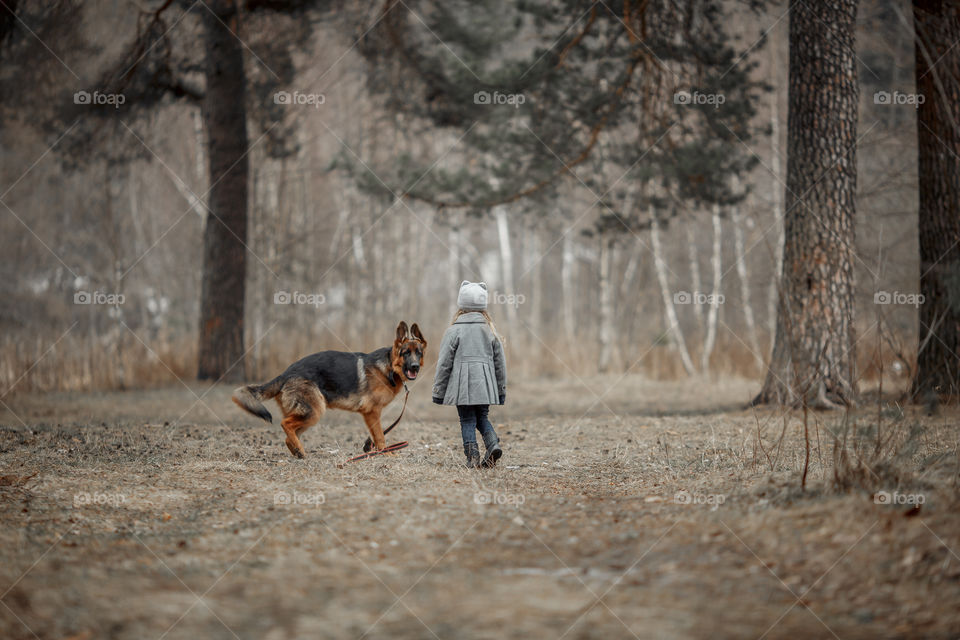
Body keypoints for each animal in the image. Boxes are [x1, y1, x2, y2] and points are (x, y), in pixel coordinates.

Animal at [231, 322, 426, 458]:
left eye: (419, 353)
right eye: (406, 353)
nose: (415, 367)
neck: (389, 367)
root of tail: (286, 372)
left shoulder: (372, 414)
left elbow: (375, 436)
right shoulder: (372, 412)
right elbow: (380, 436)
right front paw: (386, 453)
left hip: (308, 416)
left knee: (289, 434)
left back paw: (297, 451)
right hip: (314, 411)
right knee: (285, 424)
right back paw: (300, 450)